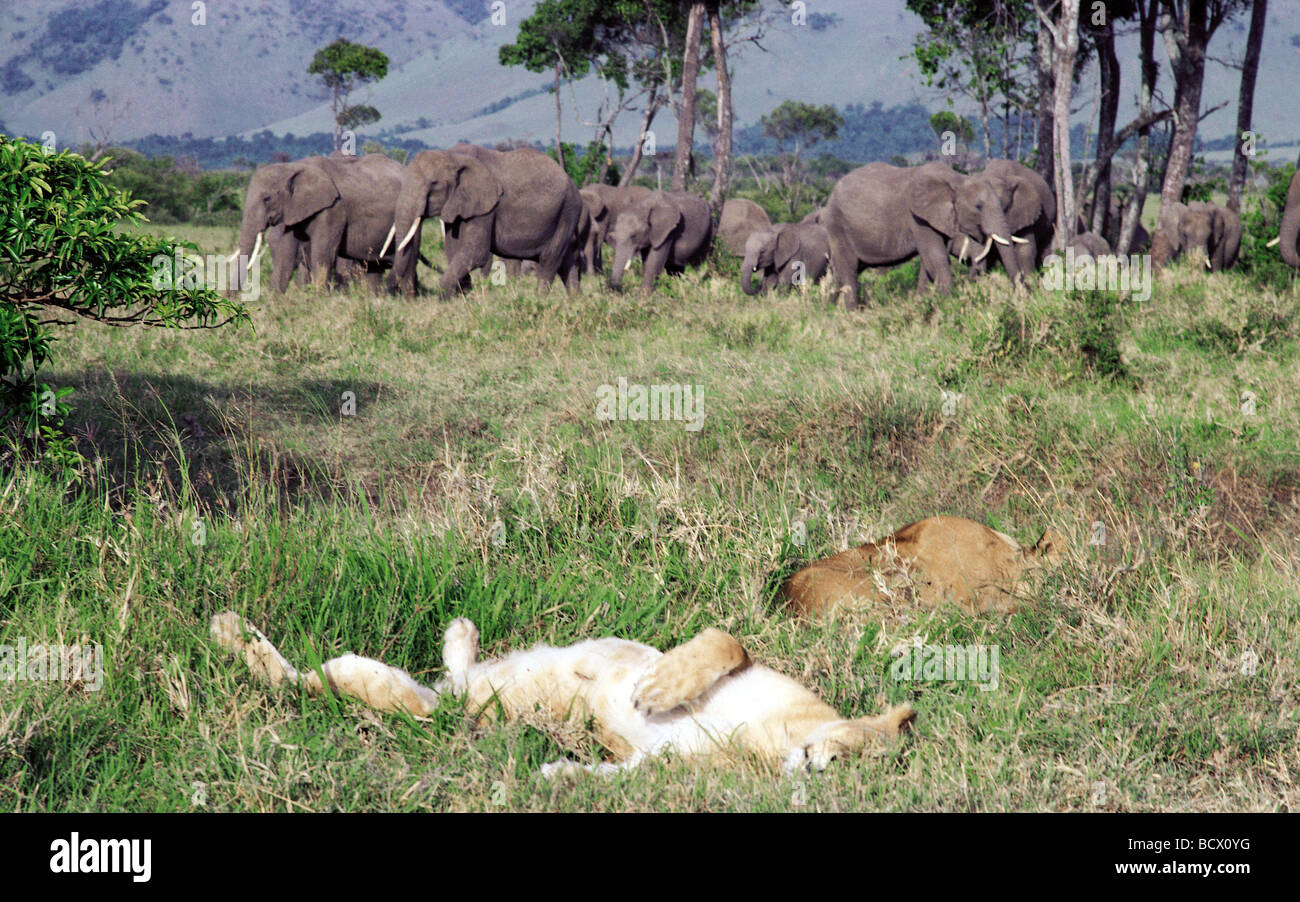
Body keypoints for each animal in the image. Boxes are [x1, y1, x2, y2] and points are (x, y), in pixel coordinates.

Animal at [230, 155, 416, 295]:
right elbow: (285, 253)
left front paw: (318, 299)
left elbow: (323, 254)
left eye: (266, 198)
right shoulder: (294, 209)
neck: (294, 167)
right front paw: (276, 304)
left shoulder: (332, 209)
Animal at [387, 142, 582, 295]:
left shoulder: (487, 206)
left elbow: (476, 252)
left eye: (434, 185)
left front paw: (447, 296)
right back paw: (575, 300)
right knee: (566, 262)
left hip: (567, 212)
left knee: (550, 260)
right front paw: (463, 296)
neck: (452, 156)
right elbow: (453, 249)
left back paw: (540, 299)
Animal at [826, 160, 1029, 305]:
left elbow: (929, 261)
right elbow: (935, 258)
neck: (957, 179)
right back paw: (851, 315)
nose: (1024, 295)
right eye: (978, 207)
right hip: (837, 226)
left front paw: (923, 304)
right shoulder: (917, 217)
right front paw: (950, 307)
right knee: (849, 273)